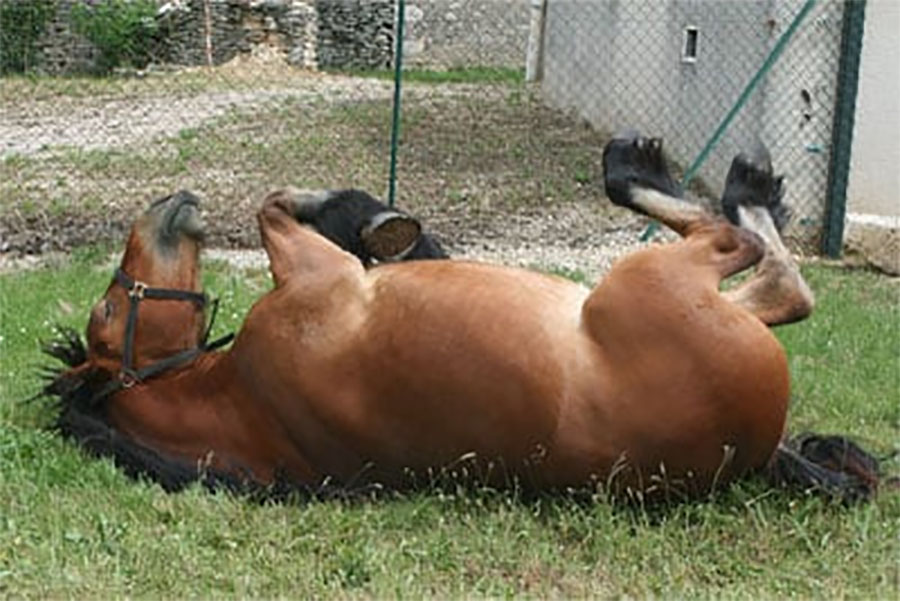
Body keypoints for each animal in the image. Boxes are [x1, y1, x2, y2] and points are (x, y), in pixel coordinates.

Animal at [40, 134, 880, 500]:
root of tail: (758, 449)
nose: (168, 203)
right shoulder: (319, 273)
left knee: (775, 282)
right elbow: (274, 206)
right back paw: (676, 172)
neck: (240, 394)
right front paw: (368, 215)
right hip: (649, 281)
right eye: (107, 306)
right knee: (760, 260)